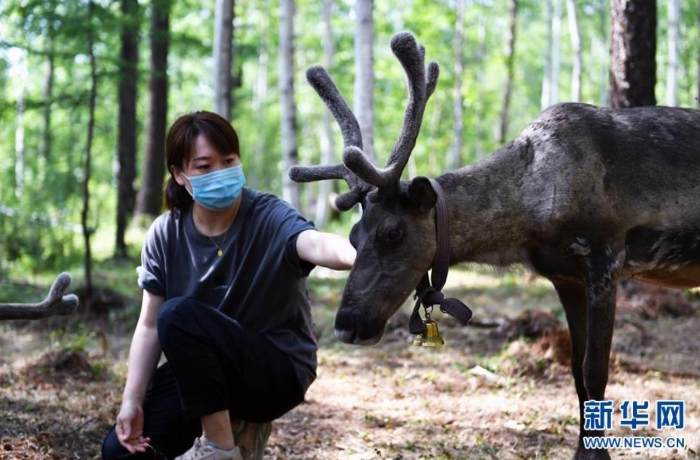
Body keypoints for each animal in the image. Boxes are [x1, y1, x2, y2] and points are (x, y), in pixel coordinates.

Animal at [289, 32, 700, 460]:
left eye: (393, 233)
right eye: (353, 236)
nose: (346, 325)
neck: (533, 213)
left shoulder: (607, 257)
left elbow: (595, 370)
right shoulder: (565, 276)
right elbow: (575, 371)